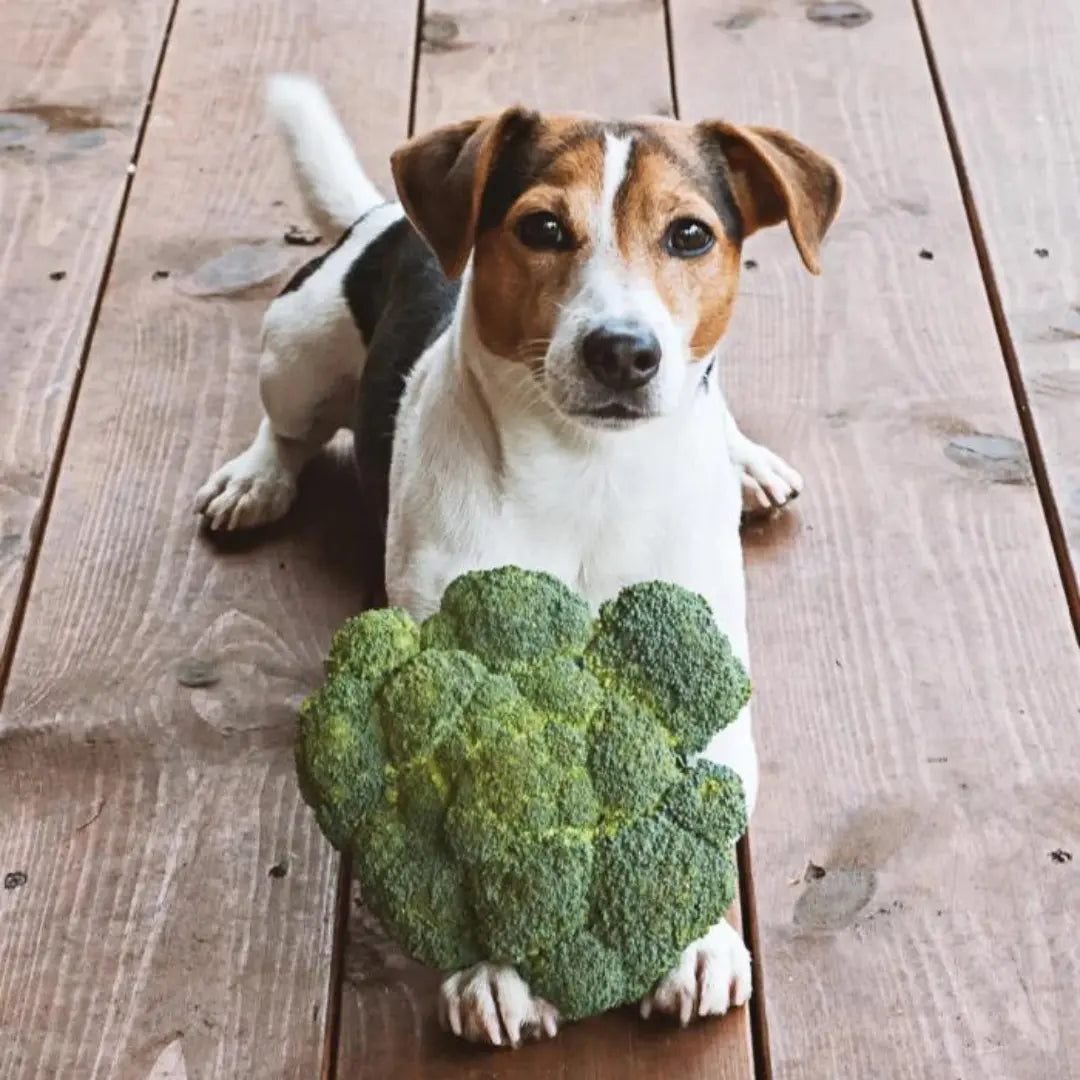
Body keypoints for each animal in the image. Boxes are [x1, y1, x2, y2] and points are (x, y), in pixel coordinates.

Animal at [198, 76, 842, 1045]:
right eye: (541, 227)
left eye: (690, 235)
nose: (624, 350)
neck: (588, 471)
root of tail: (382, 217)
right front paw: (493, 969)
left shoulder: (703, 663)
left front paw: (696, 941)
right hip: (297, 350)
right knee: (288, 425)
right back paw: (257, 477)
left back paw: (745, 460)